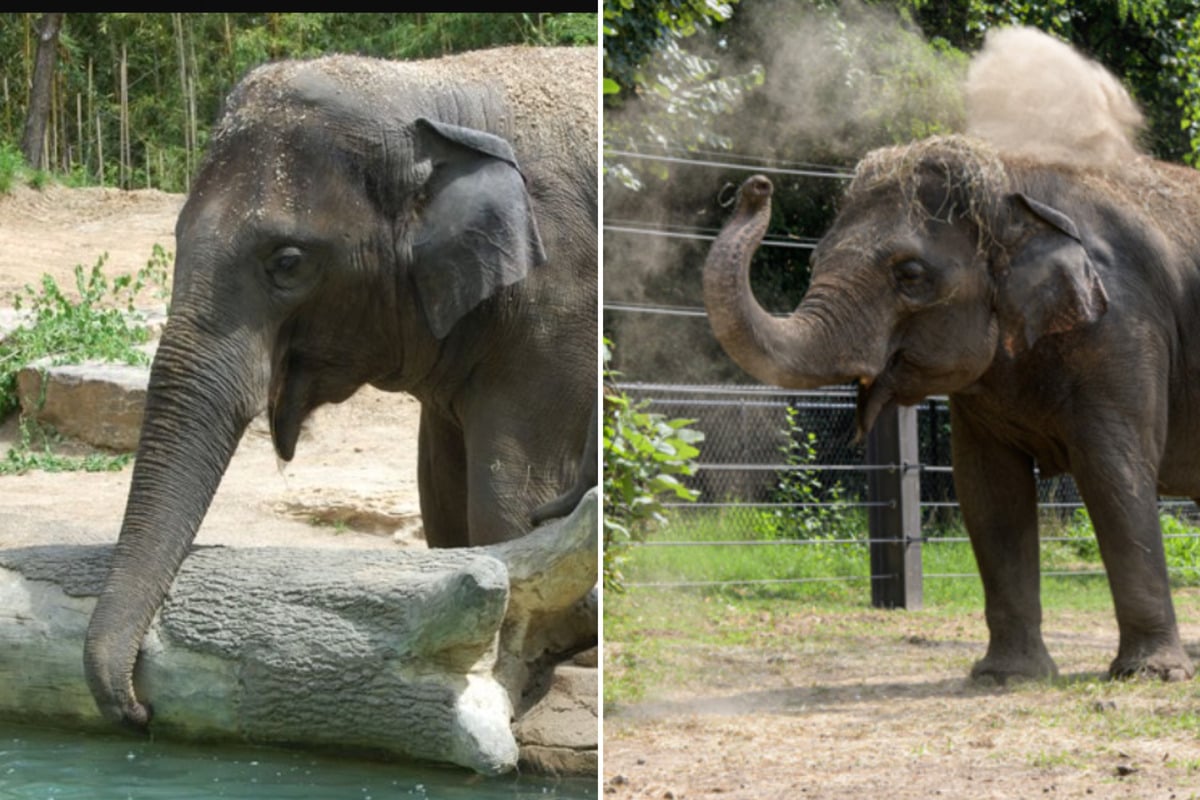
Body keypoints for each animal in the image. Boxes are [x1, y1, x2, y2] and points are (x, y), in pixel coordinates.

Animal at [84, 46, 597, 728]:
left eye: (287, 262)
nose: (139, 709)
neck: (432, 90)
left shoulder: (559, 314)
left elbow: (507, 505)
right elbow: (444, 505)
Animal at [703, 134, 1200, 684]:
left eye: (910, 274)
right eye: (813, 263)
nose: (755, 186)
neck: (1014, 186)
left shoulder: (1124, 328)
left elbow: (1115, 474)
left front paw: (1153, 674)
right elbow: (989, 490)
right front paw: (1005, 676)